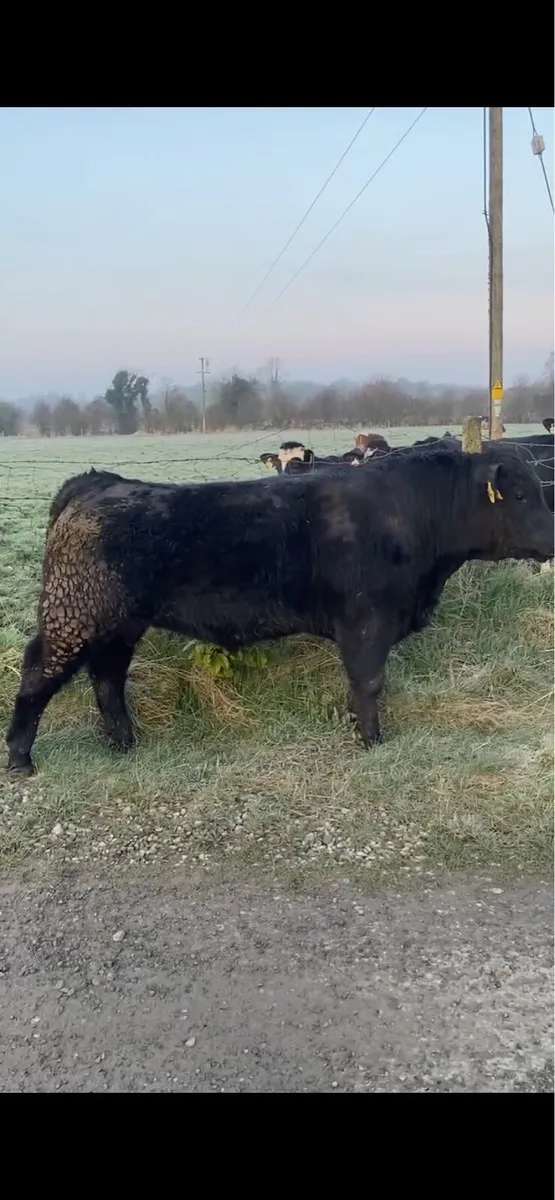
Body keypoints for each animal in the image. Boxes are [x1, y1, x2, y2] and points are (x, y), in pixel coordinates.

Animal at [6, 446, 553, 777]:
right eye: (520, 494)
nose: (552, 540)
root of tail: (98, 482)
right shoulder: (366, 622)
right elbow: (369, 682)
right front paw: (372, 740)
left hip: (118, 624)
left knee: (108, 677)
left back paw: (122, 744)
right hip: (73, 616)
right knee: (38, 674)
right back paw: (19, 758)